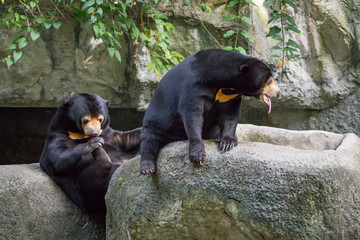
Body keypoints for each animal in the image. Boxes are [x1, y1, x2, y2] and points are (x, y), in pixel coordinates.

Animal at [141, 48, 282, 174]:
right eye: (269, 81)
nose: (279, 92)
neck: (223, 83)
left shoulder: (229, 96)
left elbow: (229, 115)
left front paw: (227, 143)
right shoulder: (195, 85)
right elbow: (192, 114)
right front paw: (198, 156)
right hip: (156, 120)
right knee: (150, 140)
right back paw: (147, 167)